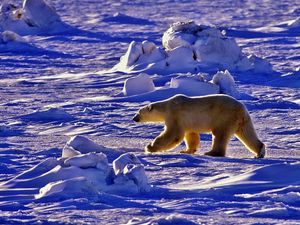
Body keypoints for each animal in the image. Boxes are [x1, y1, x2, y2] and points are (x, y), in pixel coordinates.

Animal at [132, 93, 266, 158]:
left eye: (138, 112)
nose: (134, 118)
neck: (166, 106)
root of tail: (242, 109)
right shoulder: (187, 122)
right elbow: (191, 135)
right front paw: (186, 150)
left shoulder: (174, 114)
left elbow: (173, 134)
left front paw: (149, 147)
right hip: (242, 121)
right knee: (247, 133)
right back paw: (259, 152)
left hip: (224, 117)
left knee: (220, 134)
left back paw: (211, 153)